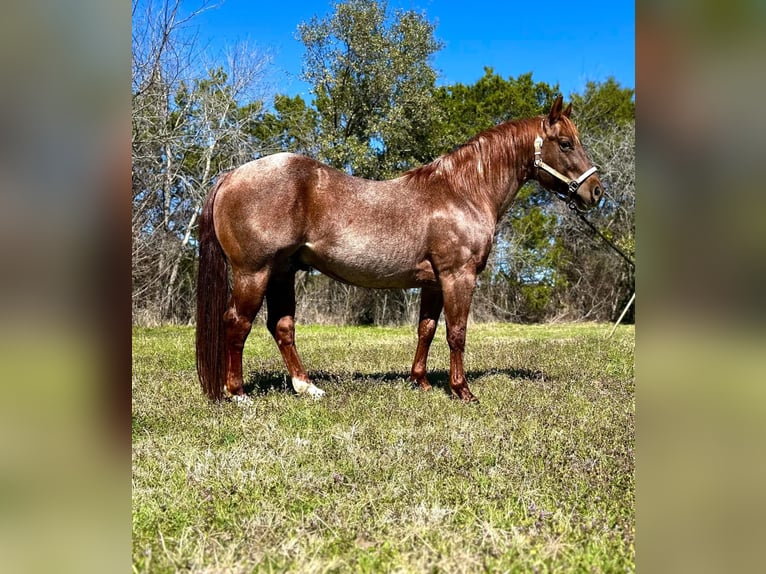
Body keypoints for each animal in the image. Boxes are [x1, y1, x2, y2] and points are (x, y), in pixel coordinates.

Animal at [195, 94, 604, 402]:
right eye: (565, 144)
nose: (596, 192)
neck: (463, 191)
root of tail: (231, 175)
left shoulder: (434, 282)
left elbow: (426, 330)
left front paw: (420, 382)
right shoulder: (458, 276)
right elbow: (457, 332)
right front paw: (462, 391)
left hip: (281, 272)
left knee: (281, 327)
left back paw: (306, 387)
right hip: (254, 272)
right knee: (237, 323)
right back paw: (237, 393)